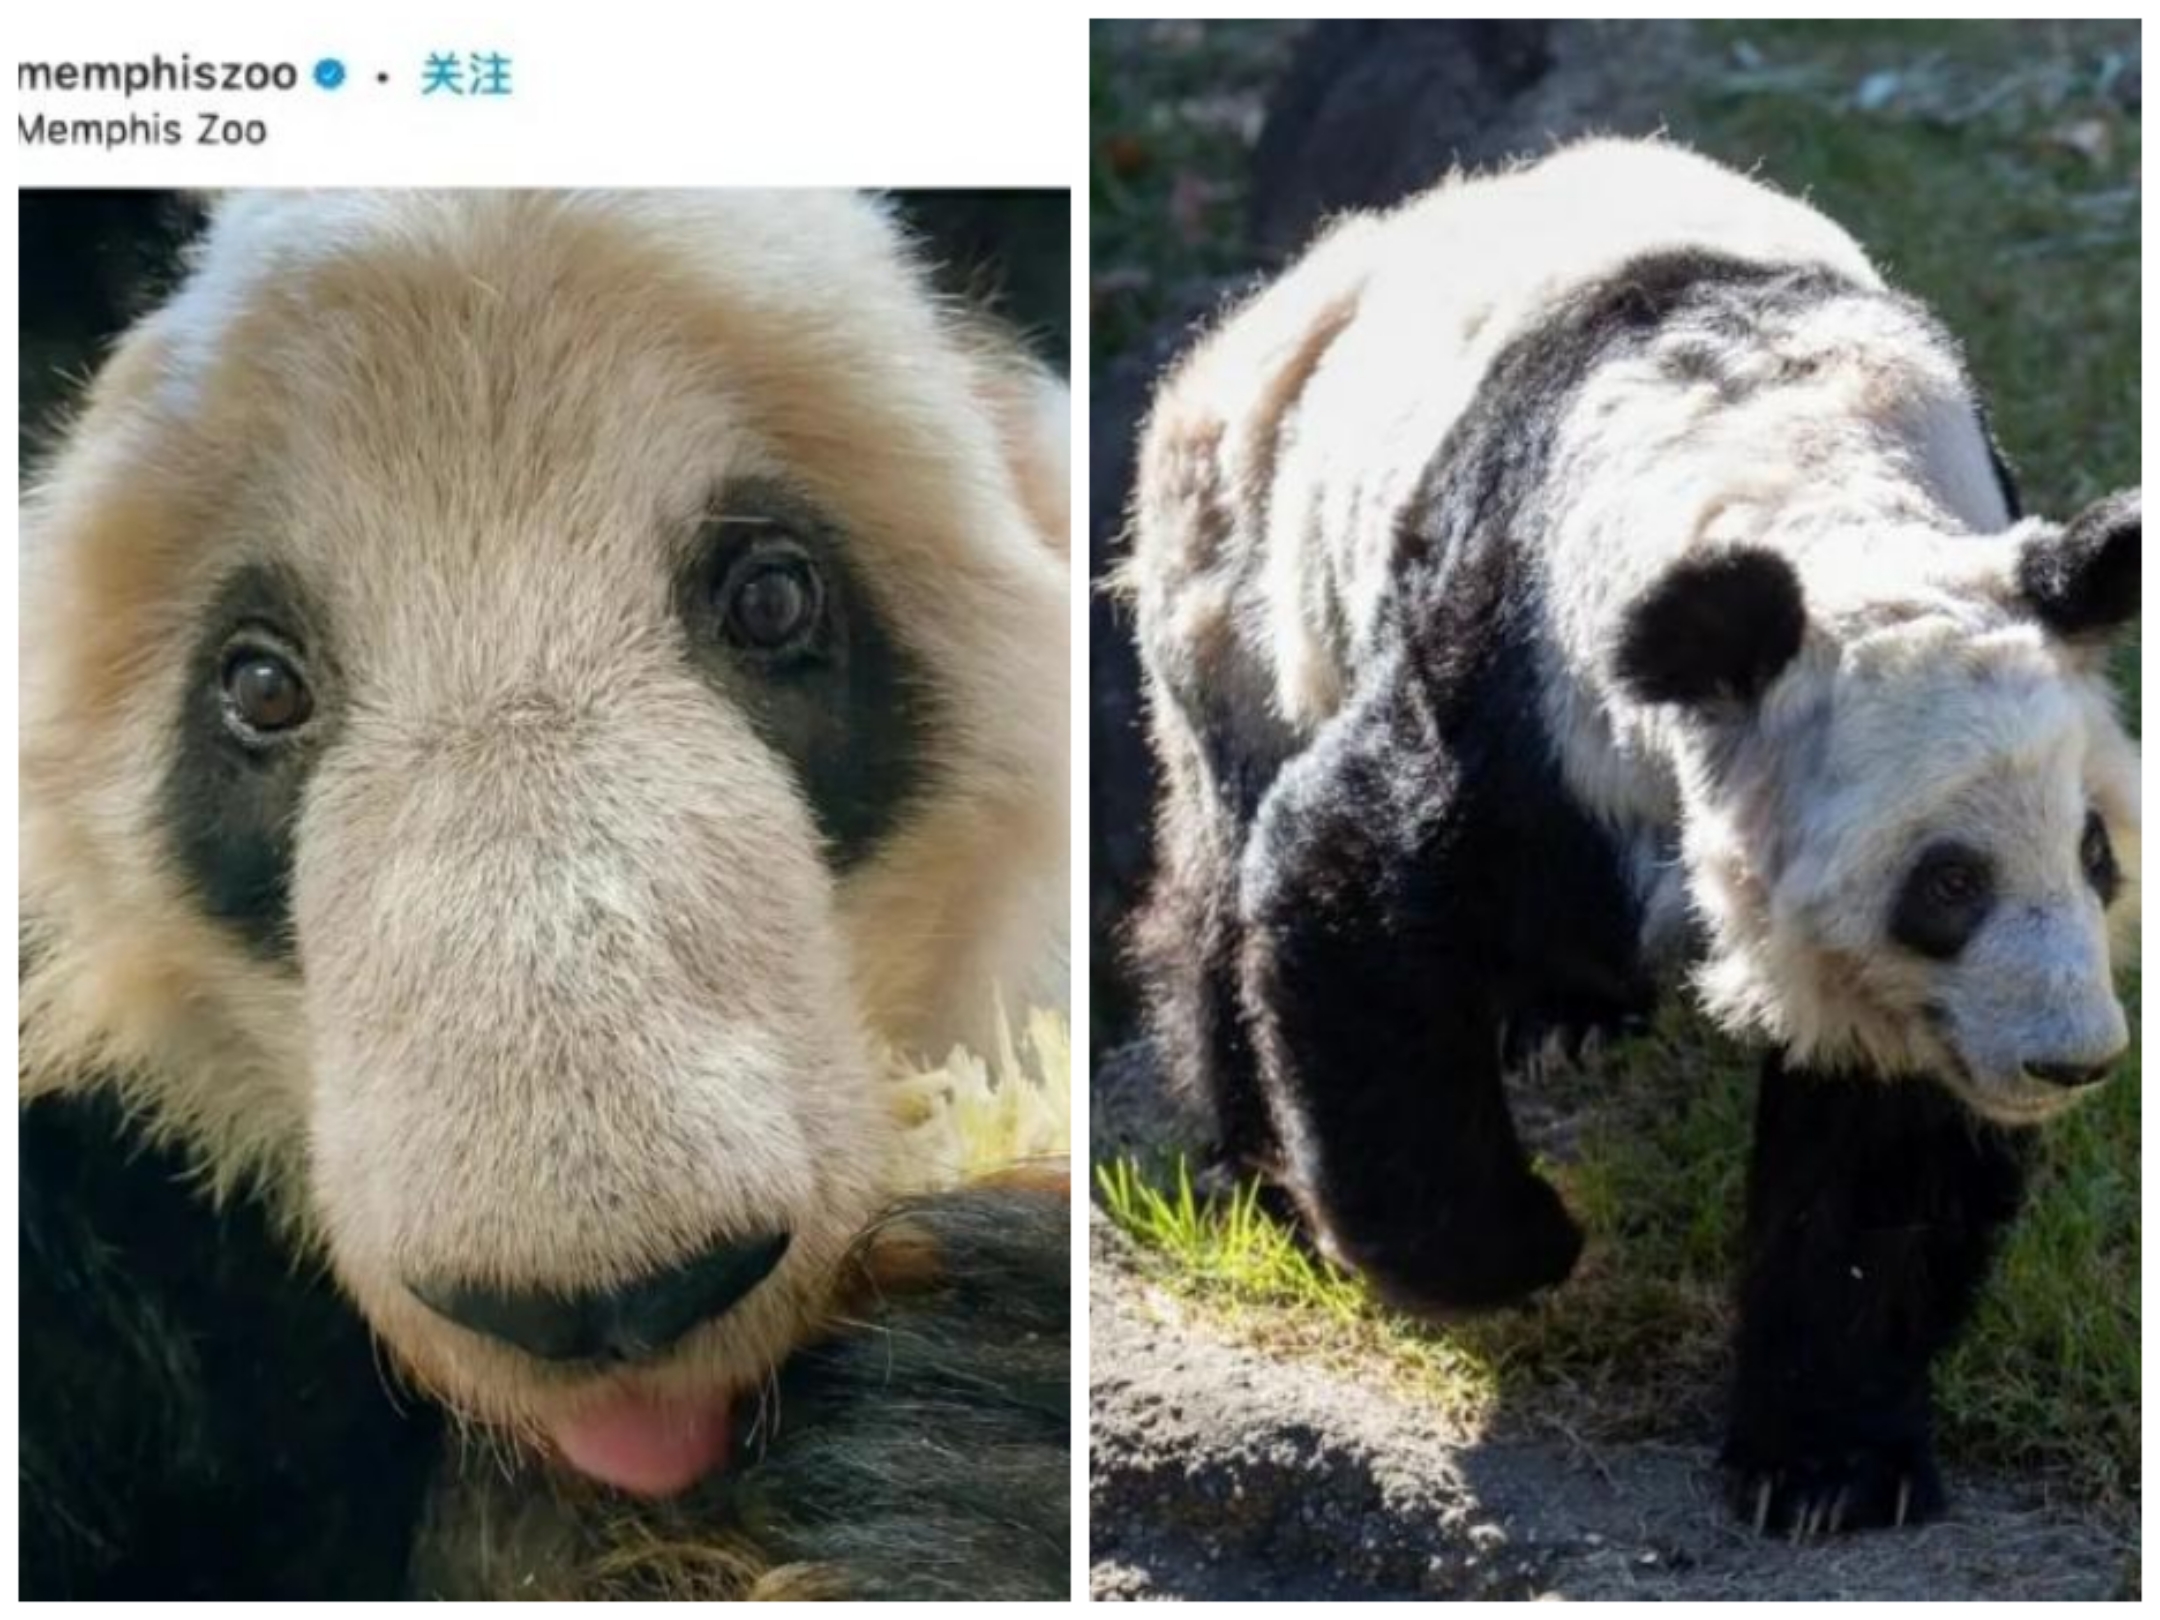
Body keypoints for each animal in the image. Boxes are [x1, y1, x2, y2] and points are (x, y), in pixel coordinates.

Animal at [1125, 139, 2139, 1535]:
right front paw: (1518, 1250)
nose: (2069, 1060)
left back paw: (1567, 1014)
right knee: (1225, 878)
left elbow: (1884, 1139)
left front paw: (1826, 1465)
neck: (1809, 488)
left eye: (2096, 856)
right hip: (1235, 579)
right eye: (1948, 884)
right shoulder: (1516, 676)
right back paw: (1264, 1183)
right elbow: (1348, 887)